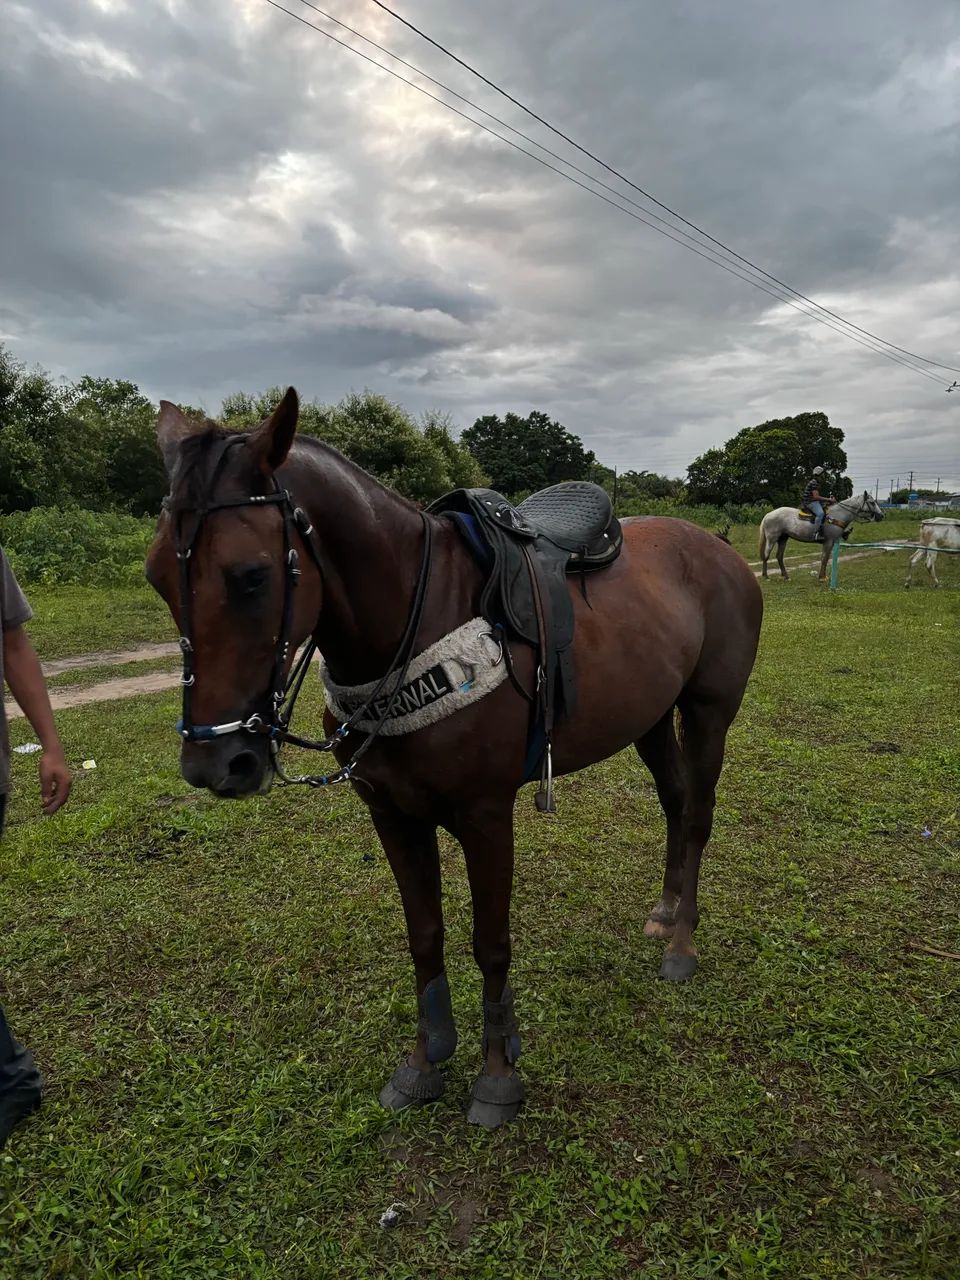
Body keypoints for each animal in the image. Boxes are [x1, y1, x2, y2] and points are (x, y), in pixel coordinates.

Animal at [145, 390, 763, 1129]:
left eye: (252, 576)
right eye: (156, 578)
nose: (215, 764)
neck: (412, 627)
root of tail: (719, 549)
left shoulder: (485, 816)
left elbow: (490, 945)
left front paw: (497, 1074)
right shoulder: (392, 815)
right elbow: (425, 936)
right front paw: (425, 1059)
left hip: (707, 712)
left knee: (696, 815)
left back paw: (682, 946)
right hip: (649, 718)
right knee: (674, 803)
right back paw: (666, 912)